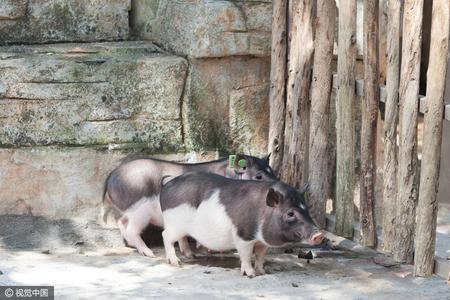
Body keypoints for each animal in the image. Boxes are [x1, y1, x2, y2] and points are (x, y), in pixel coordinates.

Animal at [103, 154, 276, 256]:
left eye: (272, 171)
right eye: (259, 175)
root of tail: (111, 176)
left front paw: (190, 253)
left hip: (128, 211)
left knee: (121, 223)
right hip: (138, 211)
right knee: (131, 230)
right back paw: (149, 253)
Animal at [158, 171, 324, 276]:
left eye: (306, 209)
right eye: (290, 213)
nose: (319, 235)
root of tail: (166, 186)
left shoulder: (261, 241)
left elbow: (260, 256)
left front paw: (263, 272)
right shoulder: (243, 236)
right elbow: (246, 255)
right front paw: (251, 274)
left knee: (181, 239)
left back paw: (192, 256)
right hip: (173, 224)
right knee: (165, 235)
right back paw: (176, 263)